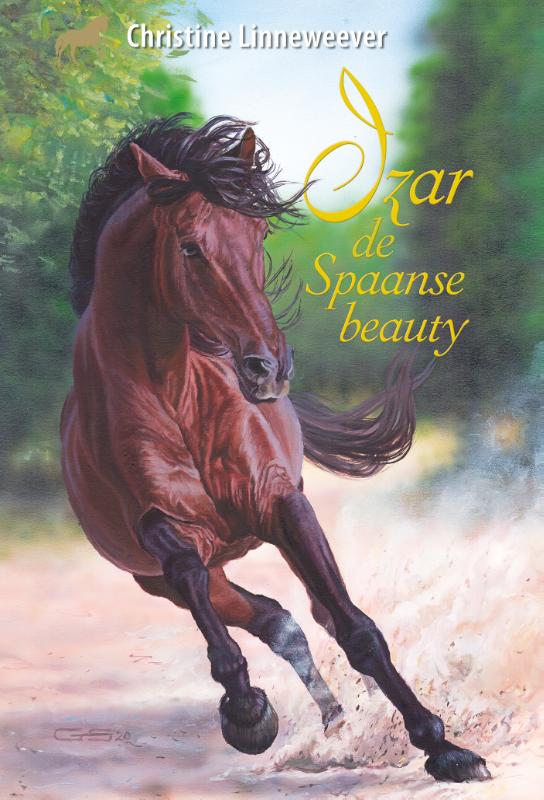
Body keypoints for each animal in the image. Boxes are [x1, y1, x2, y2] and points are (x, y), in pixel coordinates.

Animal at [60, 114, 490, 782]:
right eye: (189, 246)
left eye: (257, 236)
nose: (268, 369)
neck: (175, 390)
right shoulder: (161, 529)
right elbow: (202, 586)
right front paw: (246, 712)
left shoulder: (282, 503)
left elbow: (358, 630)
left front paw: (444, 747)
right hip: (164, 579)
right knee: (272, 618)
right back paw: (329, 717)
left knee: (316, 614)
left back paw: (360, 714)